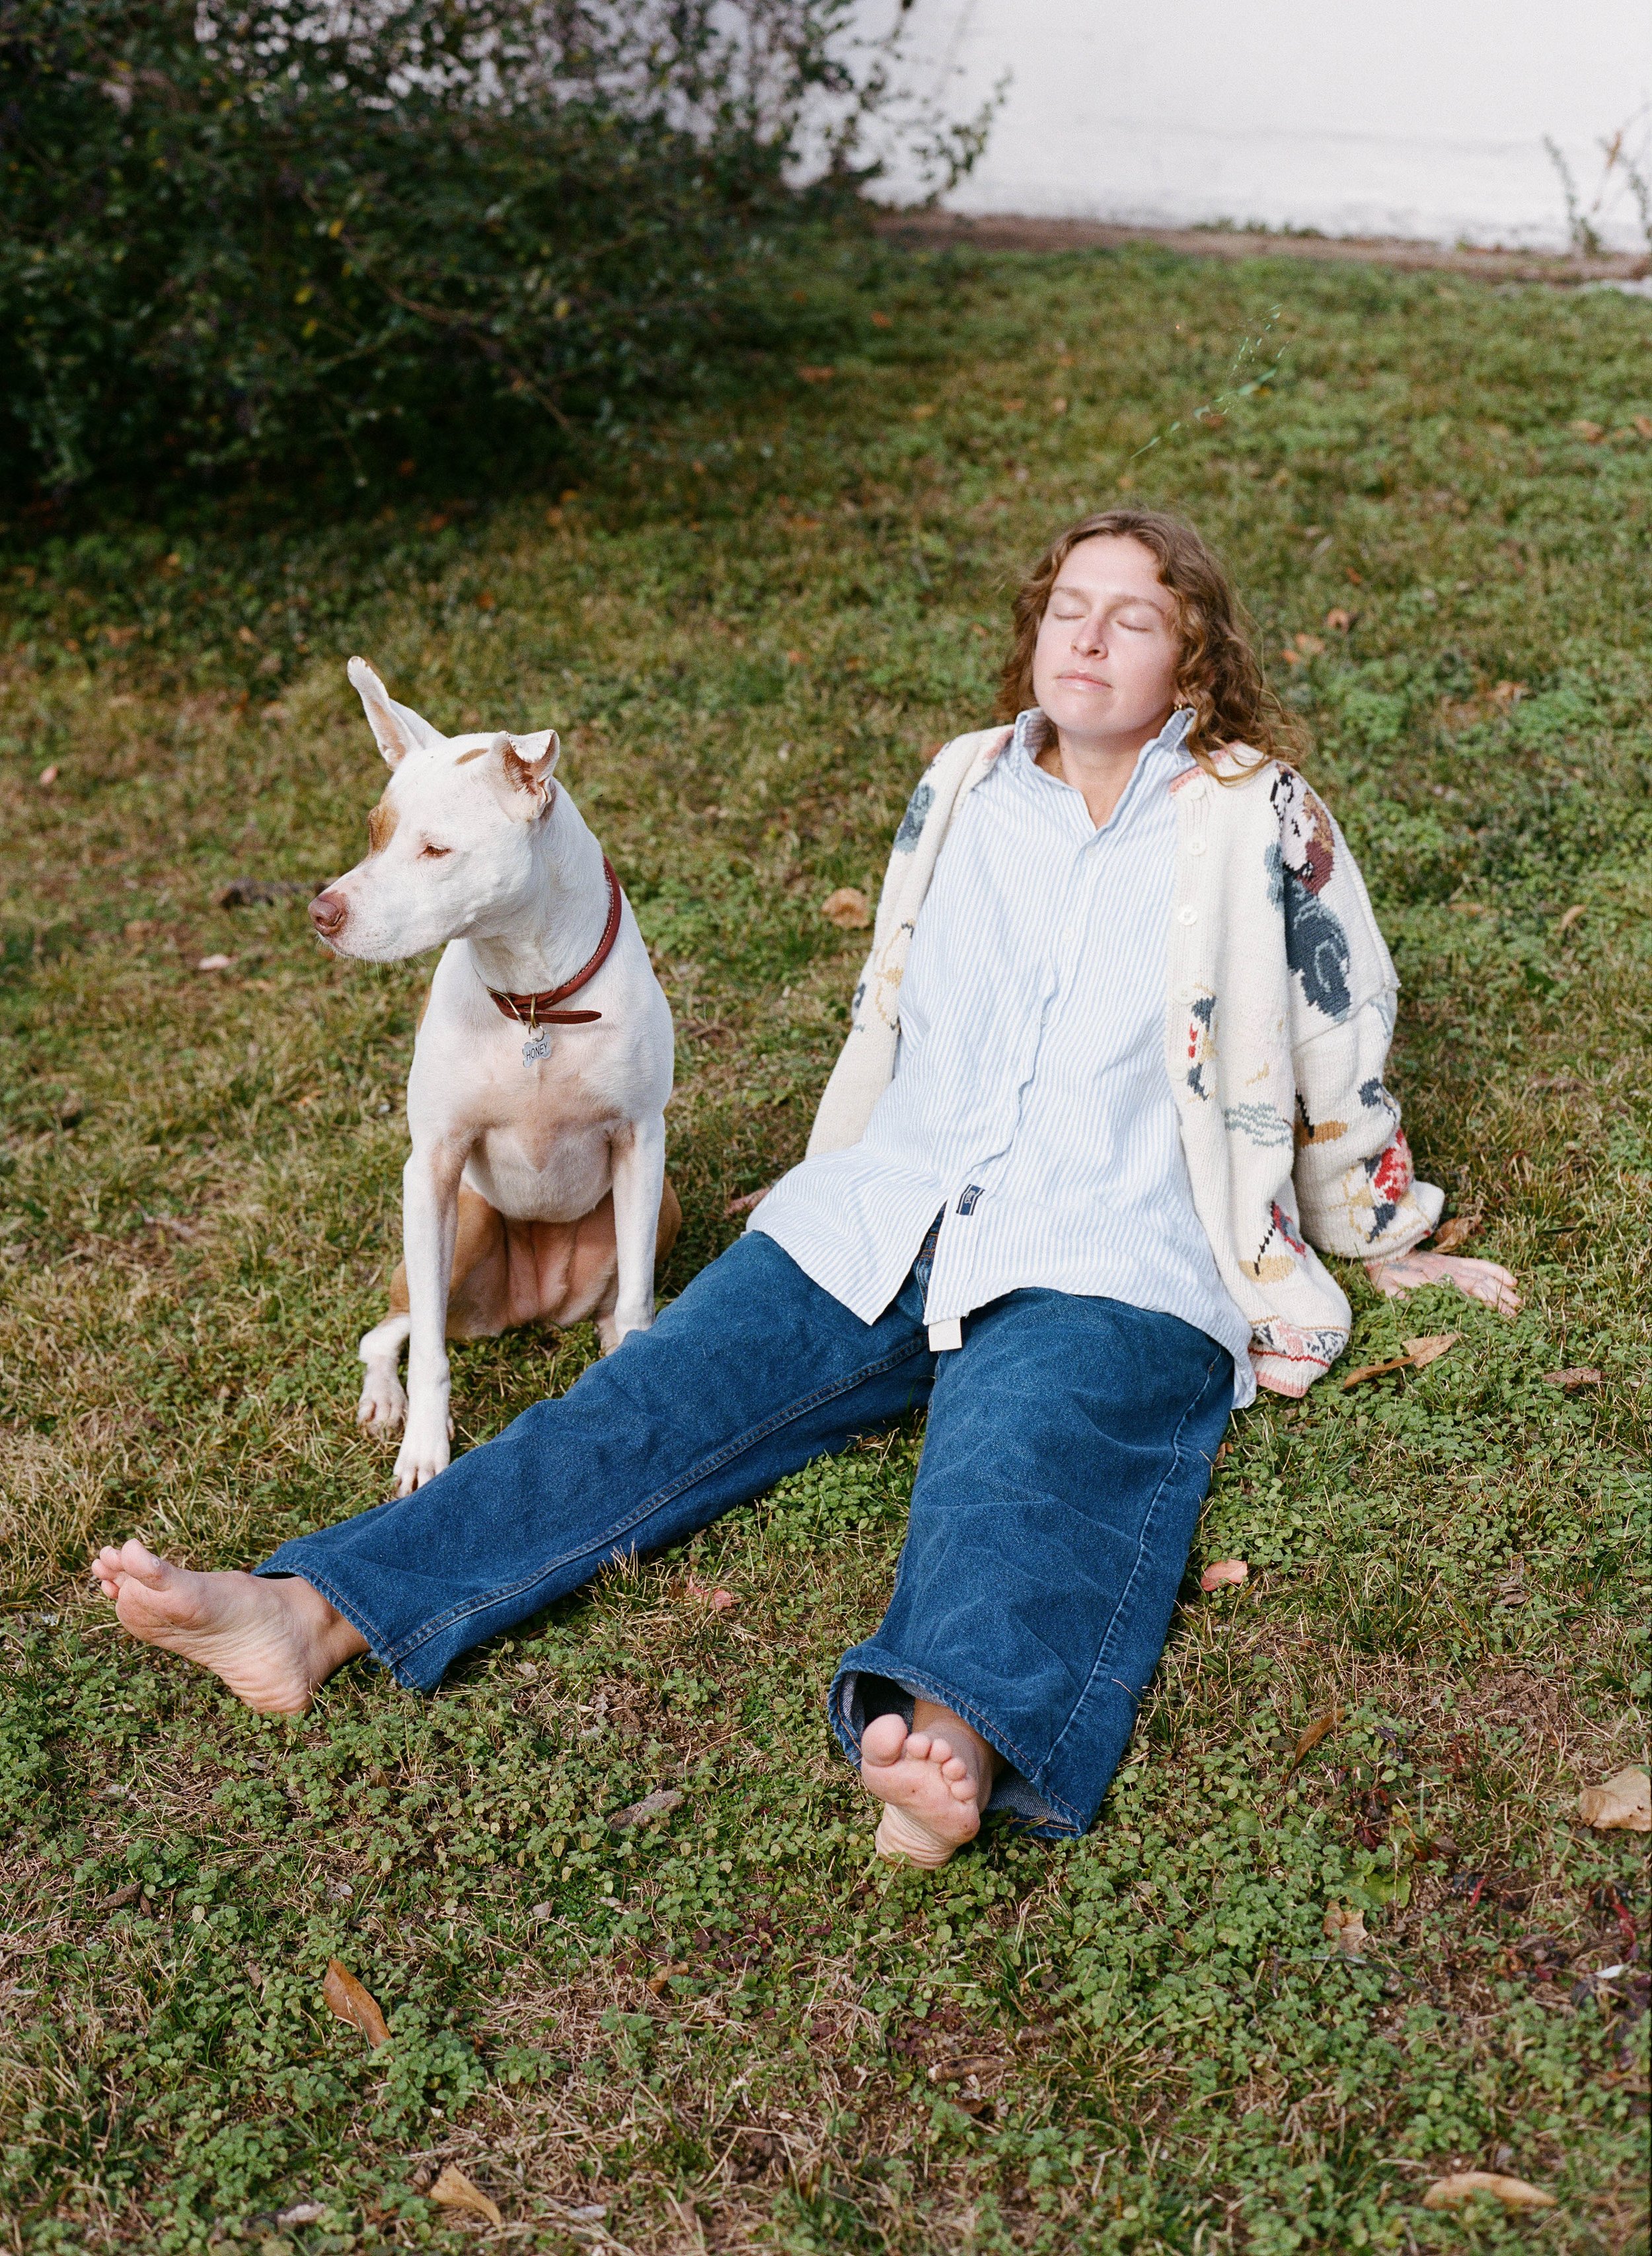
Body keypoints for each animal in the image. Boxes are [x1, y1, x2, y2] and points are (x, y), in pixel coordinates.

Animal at [309, 658, 679, 1495]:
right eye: (374, 833)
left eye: (436, 851)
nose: (323, 913)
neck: (532, 994)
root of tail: (530, 1307)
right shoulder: (432, 1164)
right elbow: (430, 1356)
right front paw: (425, 1451)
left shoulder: (641, 1143)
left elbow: (639, 1299)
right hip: (460, 1230)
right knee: (395, 1332)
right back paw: (389, 1401)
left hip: (662, 1206)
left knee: (615, 1300)